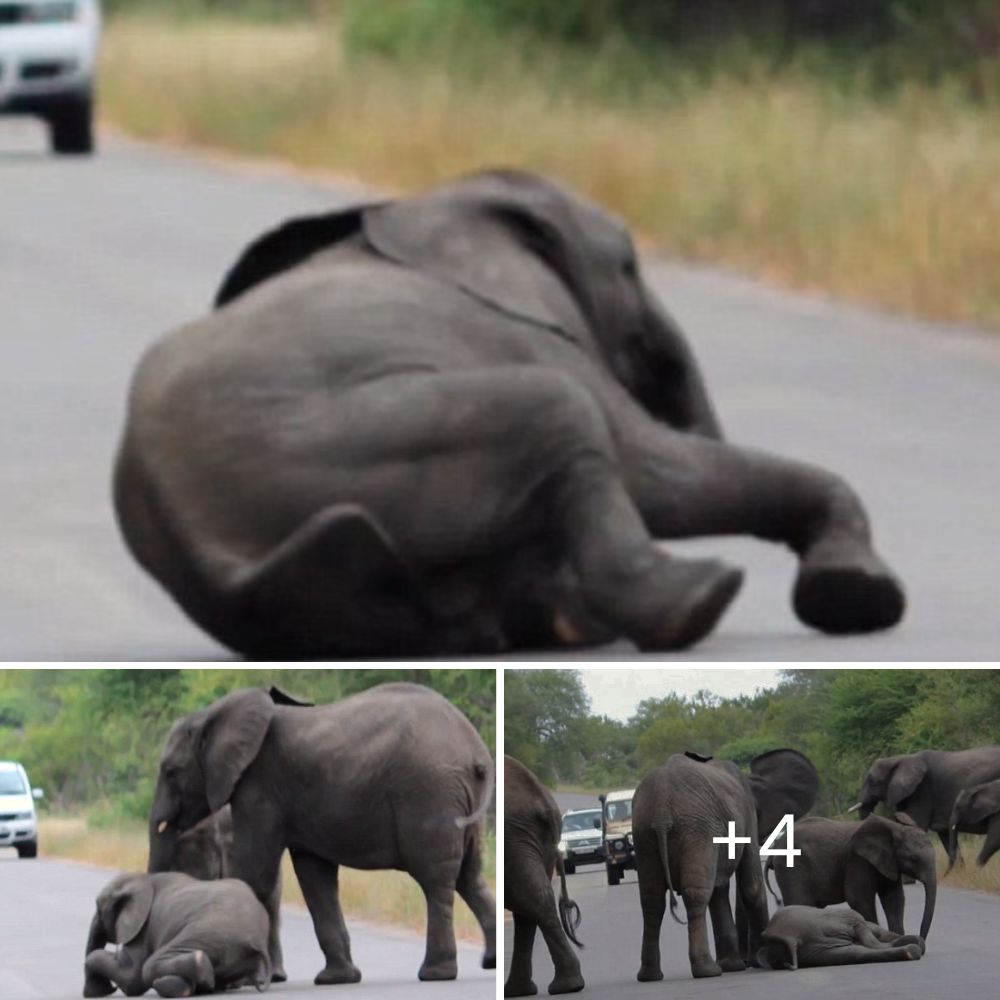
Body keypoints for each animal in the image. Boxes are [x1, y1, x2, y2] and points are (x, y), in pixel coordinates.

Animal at [82, 871, 270, 998]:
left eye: (98, 908)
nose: (110, 989)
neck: (143, 879)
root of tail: (258, 940)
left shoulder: (143, 928)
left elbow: (132, 977)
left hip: (212, 930)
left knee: (149, 966)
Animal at [113, 167, 905, 658]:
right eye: (627, 266)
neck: (436, 199)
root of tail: (223, 566)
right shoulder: (528, 332)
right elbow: (656, 471)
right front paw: (859, 597)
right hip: (356, 444)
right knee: (561, 413)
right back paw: (696, 601)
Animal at [146, 683, 495, 985]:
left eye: (170, 771)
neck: (213, 714)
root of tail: (475, 751)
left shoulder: (259, 789)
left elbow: (257, 873)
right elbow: (315, 878)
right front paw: (336, 979)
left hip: (429, 794)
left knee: (435, 881)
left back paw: (436, 973)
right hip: (460, 801)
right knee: (470, 877)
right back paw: (488, 962)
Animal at [632, 751, 772, 981]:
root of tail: (662, 810)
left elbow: (720, 889)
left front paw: (733, 966)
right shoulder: (747, 813)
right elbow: (751, 886)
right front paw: (761, 962)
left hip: (645, 833)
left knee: (651, 901)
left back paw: (649, 976)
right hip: (696, 829)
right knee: (695, 896)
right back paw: (707, 971)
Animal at [765, 813, 936, 941]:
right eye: (913, 858)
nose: (921, 939)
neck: (894, 828)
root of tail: (775, 848)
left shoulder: (888, 862)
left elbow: (894, 898)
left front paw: (899, 939)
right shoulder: (857, 860)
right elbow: (858, 898)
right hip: (791, 866)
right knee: (801, 902)